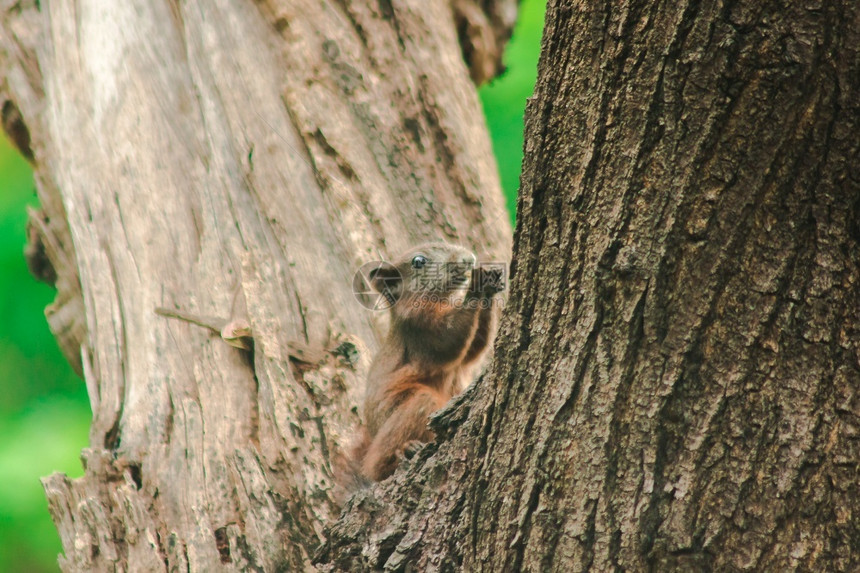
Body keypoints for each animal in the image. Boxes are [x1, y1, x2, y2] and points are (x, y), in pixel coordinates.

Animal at [350, 241, 504, 478]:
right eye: (418, 261)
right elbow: (449, 340)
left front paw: (491, 277)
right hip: (413, 406)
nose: (468, 259)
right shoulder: (420, 329)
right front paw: (478, 284)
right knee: (378, 464)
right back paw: (407, 451)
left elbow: (474, 349)